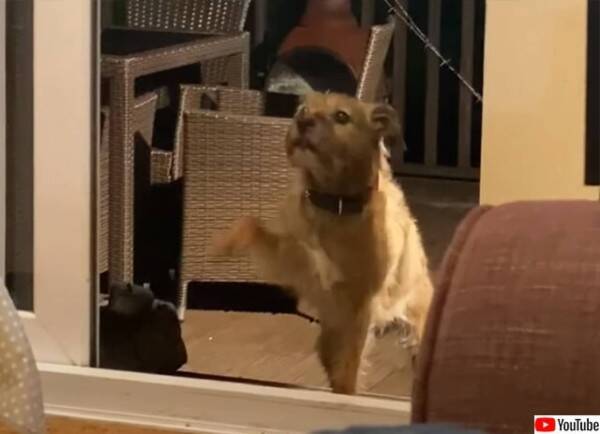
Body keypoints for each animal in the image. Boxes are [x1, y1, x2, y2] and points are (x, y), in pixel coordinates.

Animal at [214, 92, 433, 394]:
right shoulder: (291, 260)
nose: (303, 121)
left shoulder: (357, 308)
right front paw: (223, 243)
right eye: (302, 109)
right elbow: (250, 223)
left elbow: (349, 369)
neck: (332, 205)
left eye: (341, 116)